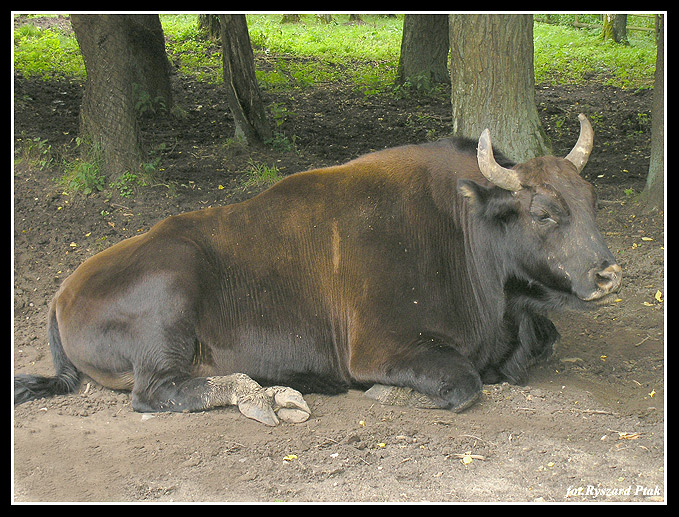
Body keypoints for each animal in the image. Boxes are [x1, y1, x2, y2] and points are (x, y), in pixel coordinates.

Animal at [14, 114, 620, 424]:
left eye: (592, 199)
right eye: (544, 212)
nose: (608, 274)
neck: (463, 225)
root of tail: (62, 293)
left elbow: (543, 342)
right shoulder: (380, 349)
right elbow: (466, 382)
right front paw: (383, 394)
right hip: (169, 296)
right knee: (159, 391)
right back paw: (275, 399)